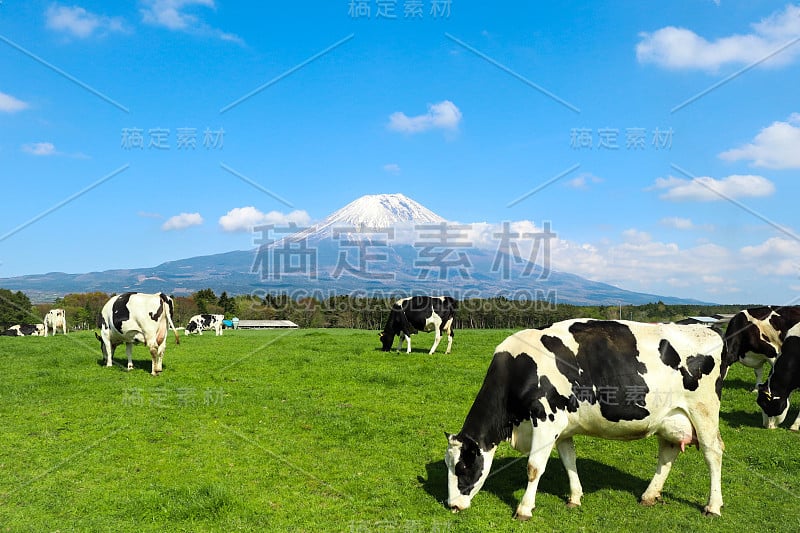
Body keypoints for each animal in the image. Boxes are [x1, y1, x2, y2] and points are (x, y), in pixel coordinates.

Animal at [446, 318, 728, 516]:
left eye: (463, 467)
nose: (452, 505)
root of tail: (708, 329)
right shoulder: (562, 426)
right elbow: (569, 461)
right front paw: (574, 498)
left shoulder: (546, 419)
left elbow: (534, 467)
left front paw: (524, 509)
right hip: (669, 417)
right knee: (668, 453)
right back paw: (649, 495)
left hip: (704, 411)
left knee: (713, 452)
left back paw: (713, 506)